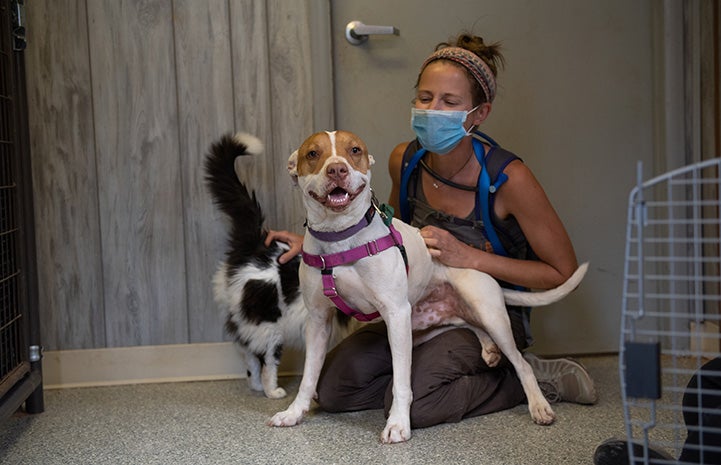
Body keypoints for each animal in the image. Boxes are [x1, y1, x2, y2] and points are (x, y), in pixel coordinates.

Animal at [202, 131, 360, 398]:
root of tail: (254, 242)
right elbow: (314, 363)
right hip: (269, 326)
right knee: (266, 361)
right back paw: (272, 391)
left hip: (247, 321)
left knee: (249, 356)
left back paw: (256, 386)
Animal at [268, 130, 588, 442]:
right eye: (313, 153)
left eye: (354, 150)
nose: (337, 169)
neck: (341, 239)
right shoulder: (318, 321)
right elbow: (309, 377)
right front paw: (294, 412)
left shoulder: (396, 314)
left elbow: (400, 381)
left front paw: (398, 424)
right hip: (429, 321)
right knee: (471, 326)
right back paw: (488, 349)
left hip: (488, 313)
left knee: (521, 363)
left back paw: (539, 404)